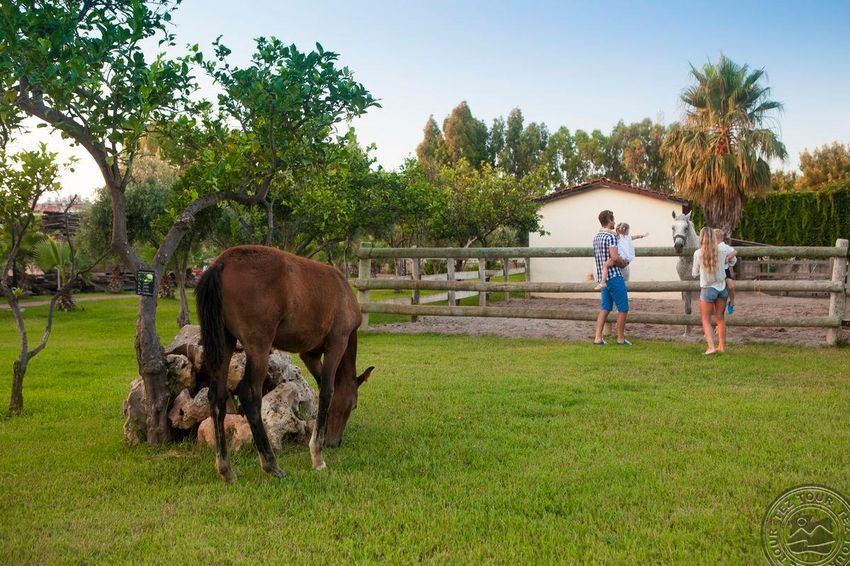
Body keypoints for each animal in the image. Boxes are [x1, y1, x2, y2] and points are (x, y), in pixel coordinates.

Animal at [199, 245, 374, 484]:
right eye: (353, 405)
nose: (334, 442)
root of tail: (222, 263)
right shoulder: (337, 344)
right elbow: (327, 391)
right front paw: (317, 456)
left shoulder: (309, 354)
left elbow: (322, 387)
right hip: (259, 346)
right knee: (250, 396)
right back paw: (271, 465)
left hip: (224, 342)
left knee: (216, 396)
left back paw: (226, 469)